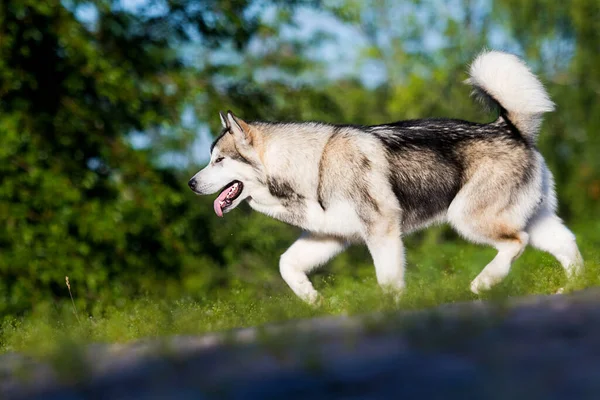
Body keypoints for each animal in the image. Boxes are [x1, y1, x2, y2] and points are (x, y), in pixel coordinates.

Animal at [188, 51, 580, 304]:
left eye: (219, 160)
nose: (191, 183)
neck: (313, 165)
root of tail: (509, 127)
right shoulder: (330, 236)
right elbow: (287, 265)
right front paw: (313, 299)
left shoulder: (382, 230)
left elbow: (388, 281)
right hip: (534, 218)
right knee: (567, 245)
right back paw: (574, 288)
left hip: (468, 217)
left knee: (517, 242)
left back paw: (483, 284)